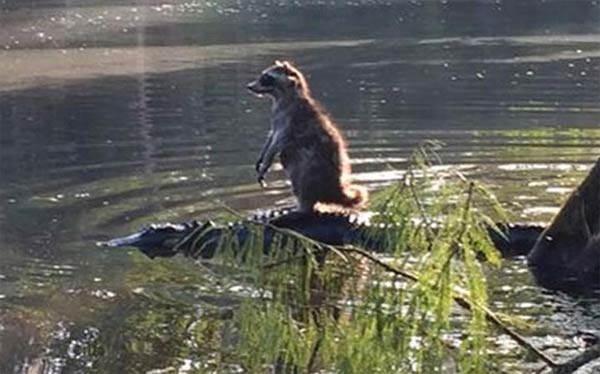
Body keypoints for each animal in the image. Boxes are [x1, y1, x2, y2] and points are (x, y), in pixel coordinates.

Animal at [245, 61, 366, 213]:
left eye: (266, 77)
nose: (249, 86)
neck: (282, 96)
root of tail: (335, 189)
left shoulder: (290, 118)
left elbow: (278, 141)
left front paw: (266, 162)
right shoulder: (277, 116)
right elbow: (271, 135)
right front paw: (262, 156)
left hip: (314, 168)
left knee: (301, 174)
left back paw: (302, 206)